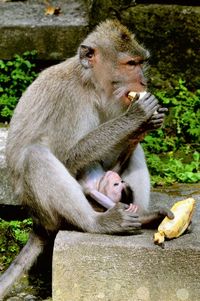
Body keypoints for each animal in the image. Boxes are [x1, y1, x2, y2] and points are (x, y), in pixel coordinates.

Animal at [0, 19, 173, 296]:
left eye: (140, 62)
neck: (88, 84)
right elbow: (66, 157)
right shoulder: (68, 102)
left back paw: (145, 216)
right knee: (37, 156)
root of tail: (38, 222)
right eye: (130, 64)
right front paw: (137, 117)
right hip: (43, 208)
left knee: (133, 151)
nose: (144, 82)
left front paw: (145, 125)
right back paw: (97, 223)